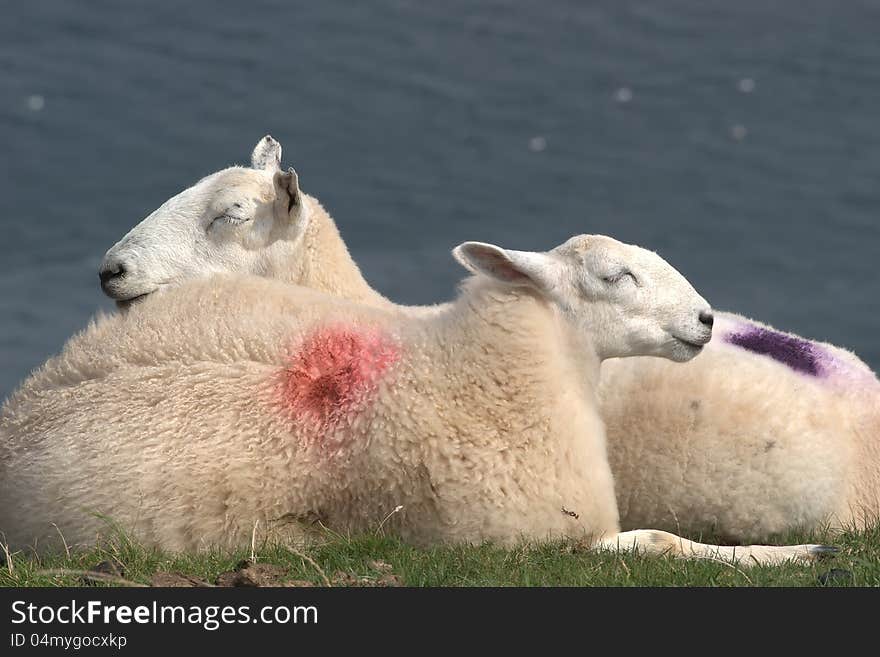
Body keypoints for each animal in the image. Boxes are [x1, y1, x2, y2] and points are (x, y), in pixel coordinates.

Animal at [0, 231, 828, 564]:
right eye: (613, 277)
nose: (706, 319)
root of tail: (19, 408)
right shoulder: (532, 538)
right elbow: (662, 539)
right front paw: (793, 552)